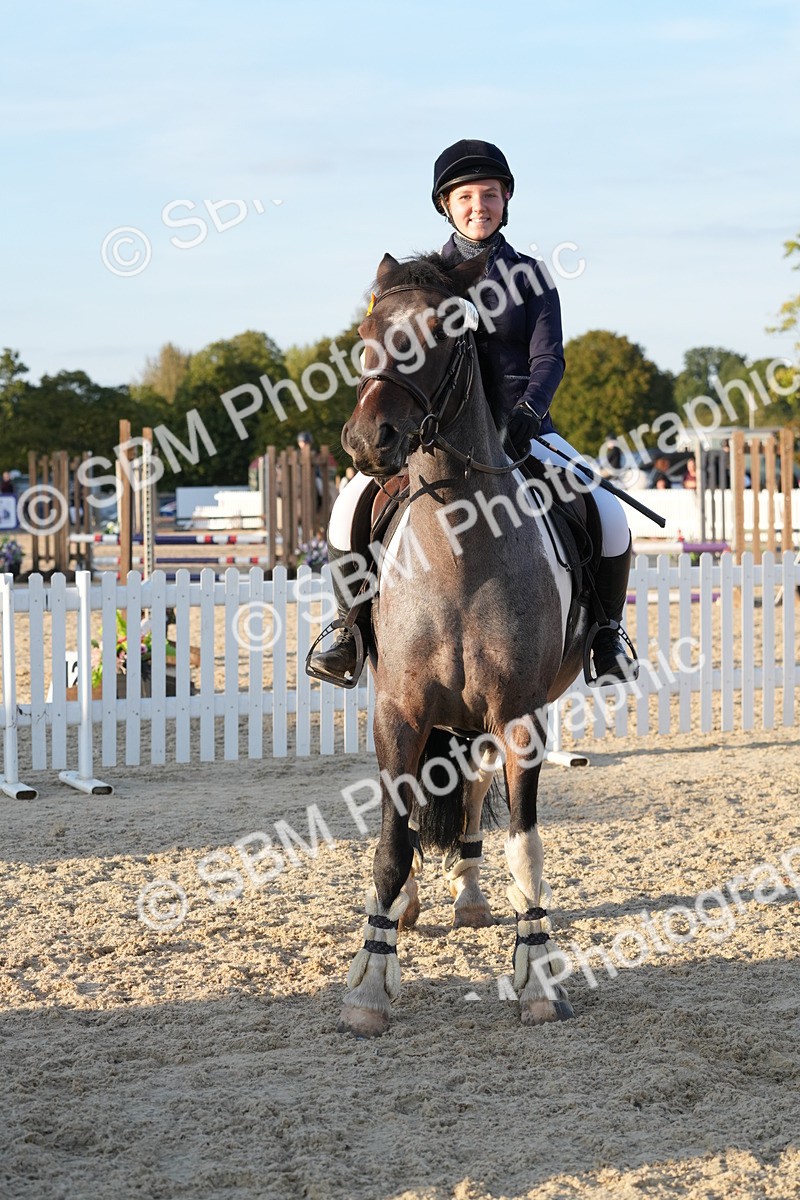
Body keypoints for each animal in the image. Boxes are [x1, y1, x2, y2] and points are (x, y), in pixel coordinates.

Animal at [336, 249, 589, 1037]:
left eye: (445, 332)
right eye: (366, 334)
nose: (369, 441)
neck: (458, 546)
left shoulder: (519, 715)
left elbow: (526, 848)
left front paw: (538, 977)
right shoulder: (400, 713)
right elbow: (391, 843)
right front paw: (370, 984)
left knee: (473, 789)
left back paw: (471, 897)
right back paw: (410, 906)